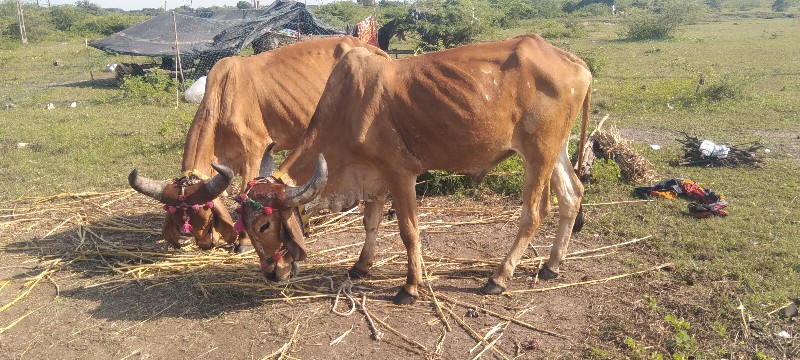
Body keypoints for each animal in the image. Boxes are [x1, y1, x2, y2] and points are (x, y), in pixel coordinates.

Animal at [127, 36, 390, 250]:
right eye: (182, 219)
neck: (223, 96)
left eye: (206, 214)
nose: (205, 244)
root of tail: (372, 49)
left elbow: (246, 191)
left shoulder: (255, 150)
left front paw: (243, 242)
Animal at [234, 35, 592, 304]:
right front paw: (361, 266)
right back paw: (551, 265)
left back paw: (499, 277)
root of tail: (576, 62)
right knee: (572, 195)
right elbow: (371, 223)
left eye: (264, 225)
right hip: (556, 150)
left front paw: (409, 286)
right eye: (246, 228)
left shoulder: (400, 174)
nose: (272, 273)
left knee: (534, 212)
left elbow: (409, 231)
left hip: (538, 153)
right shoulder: (373, 177)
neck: (348, 109)